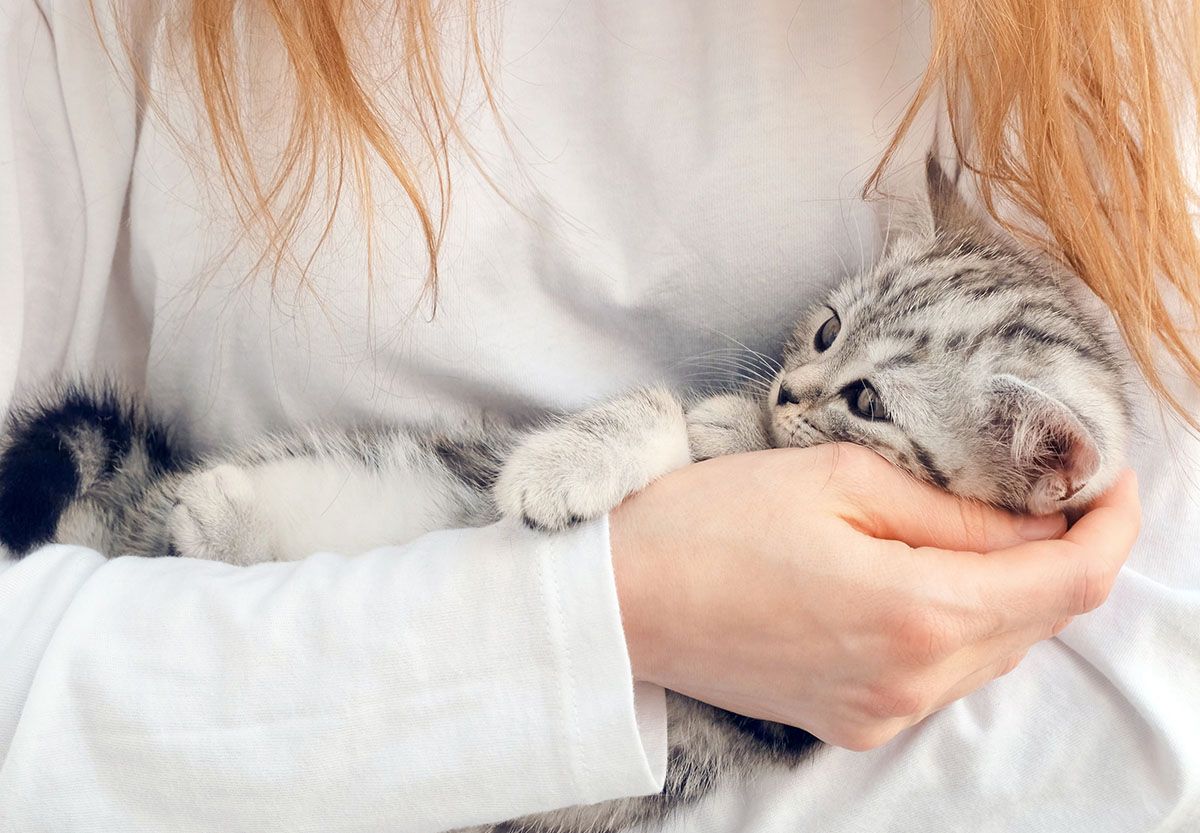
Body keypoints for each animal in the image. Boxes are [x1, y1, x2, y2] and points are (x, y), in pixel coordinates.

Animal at [0, 158, 1123, 833]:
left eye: (869, 400)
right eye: (827, 328)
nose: (786, 391)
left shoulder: (779, 718)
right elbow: (663, 409)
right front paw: (602, 450)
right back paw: (212, 505)